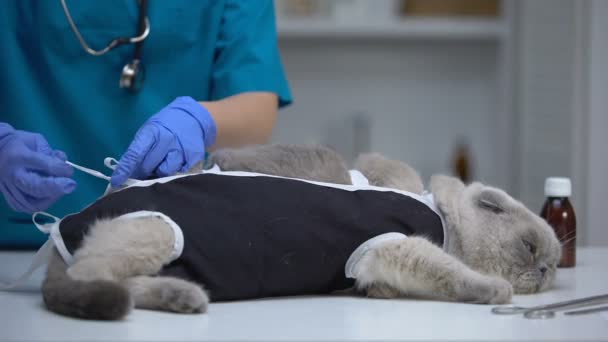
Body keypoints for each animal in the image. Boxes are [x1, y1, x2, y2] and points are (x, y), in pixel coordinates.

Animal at [40, 144, 560, 320]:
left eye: (553, 266)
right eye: (529, 247)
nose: (546, 271)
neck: (439, 217)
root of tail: (56, 240)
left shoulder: (380, 262)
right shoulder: (397, 245)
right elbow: (451, 270)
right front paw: (494, 290)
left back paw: (184, 297)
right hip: (157, 233)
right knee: (94, 275)